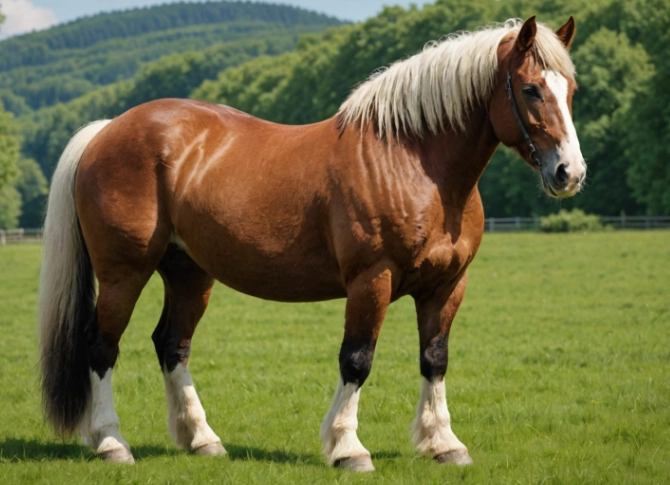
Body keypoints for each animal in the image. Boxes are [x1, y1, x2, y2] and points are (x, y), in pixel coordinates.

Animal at [38, 16, 584, 471]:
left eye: (571, 90)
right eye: (531, 89)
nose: (569, 173)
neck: (413, 162)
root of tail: (108, 129)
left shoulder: (447, 286)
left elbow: (435, 359)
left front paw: (443, 444)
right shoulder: (372, 280)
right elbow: (357, 360)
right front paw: (348, 449)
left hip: (190, 274)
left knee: (173, 346)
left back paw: (202, 440)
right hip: (123, 275)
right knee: (102, 347)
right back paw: (112, 443)